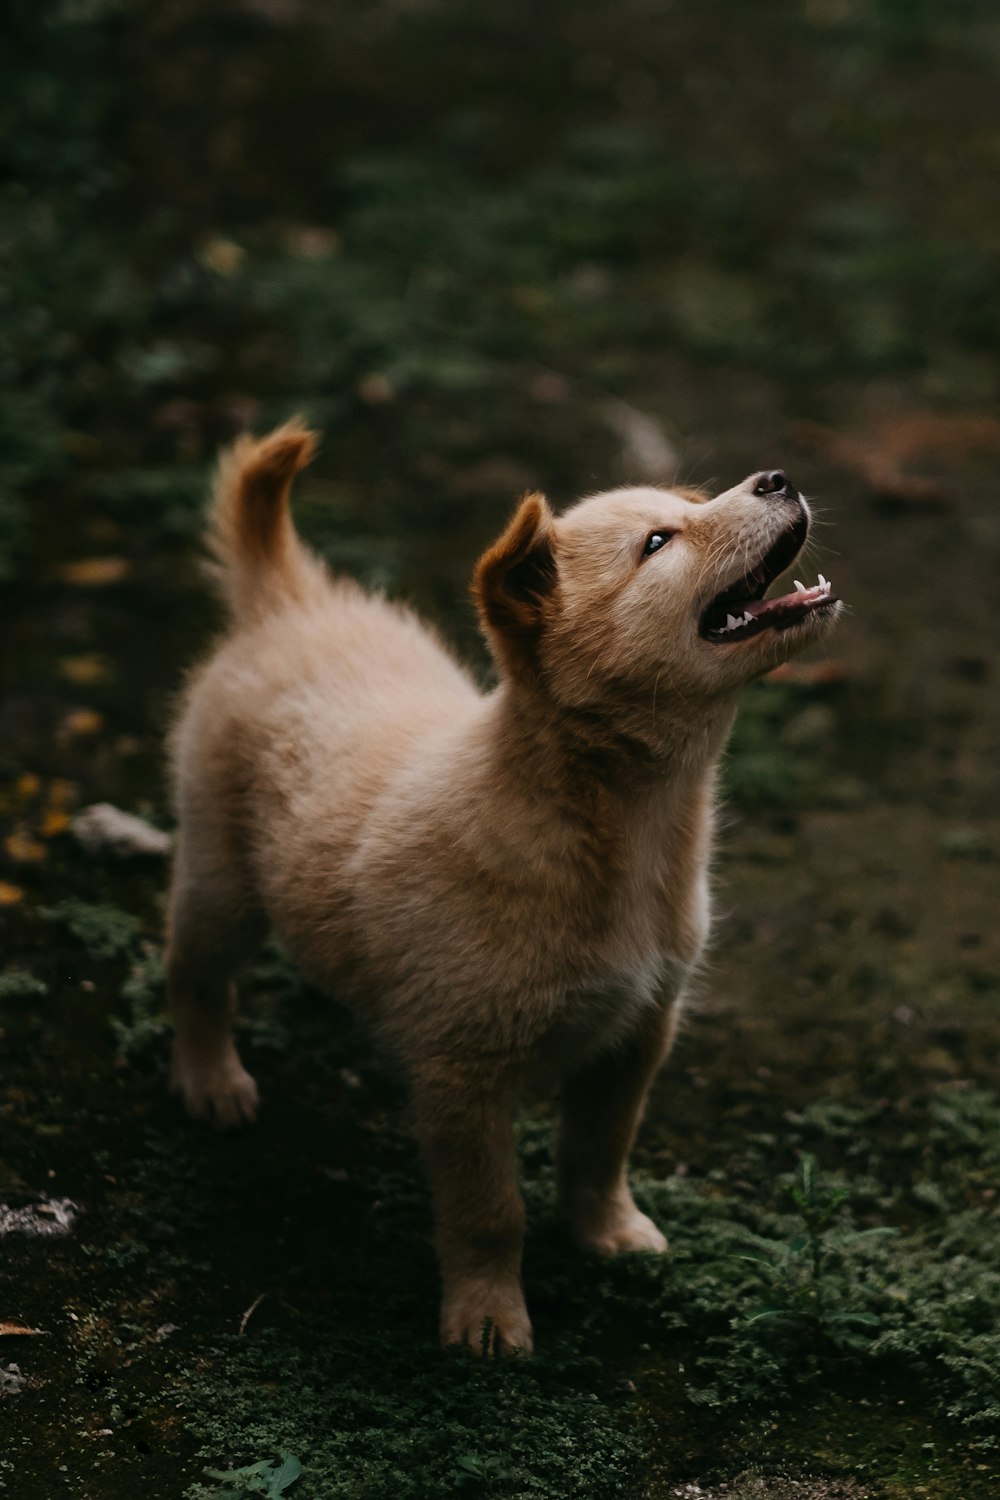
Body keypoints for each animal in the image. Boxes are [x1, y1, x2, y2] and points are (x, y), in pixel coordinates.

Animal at [167, 420, 839, 1350]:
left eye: (694, 506)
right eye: (658, 543)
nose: (775, 477)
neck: (616, 827)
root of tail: (290, 604)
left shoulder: (640, 1032)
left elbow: (600, 1148)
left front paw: (608, 1233)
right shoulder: (464, 1075)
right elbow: (489, 1210)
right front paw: (486, 1316)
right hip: (222, 881)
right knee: (195, 975)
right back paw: (210, 1081)